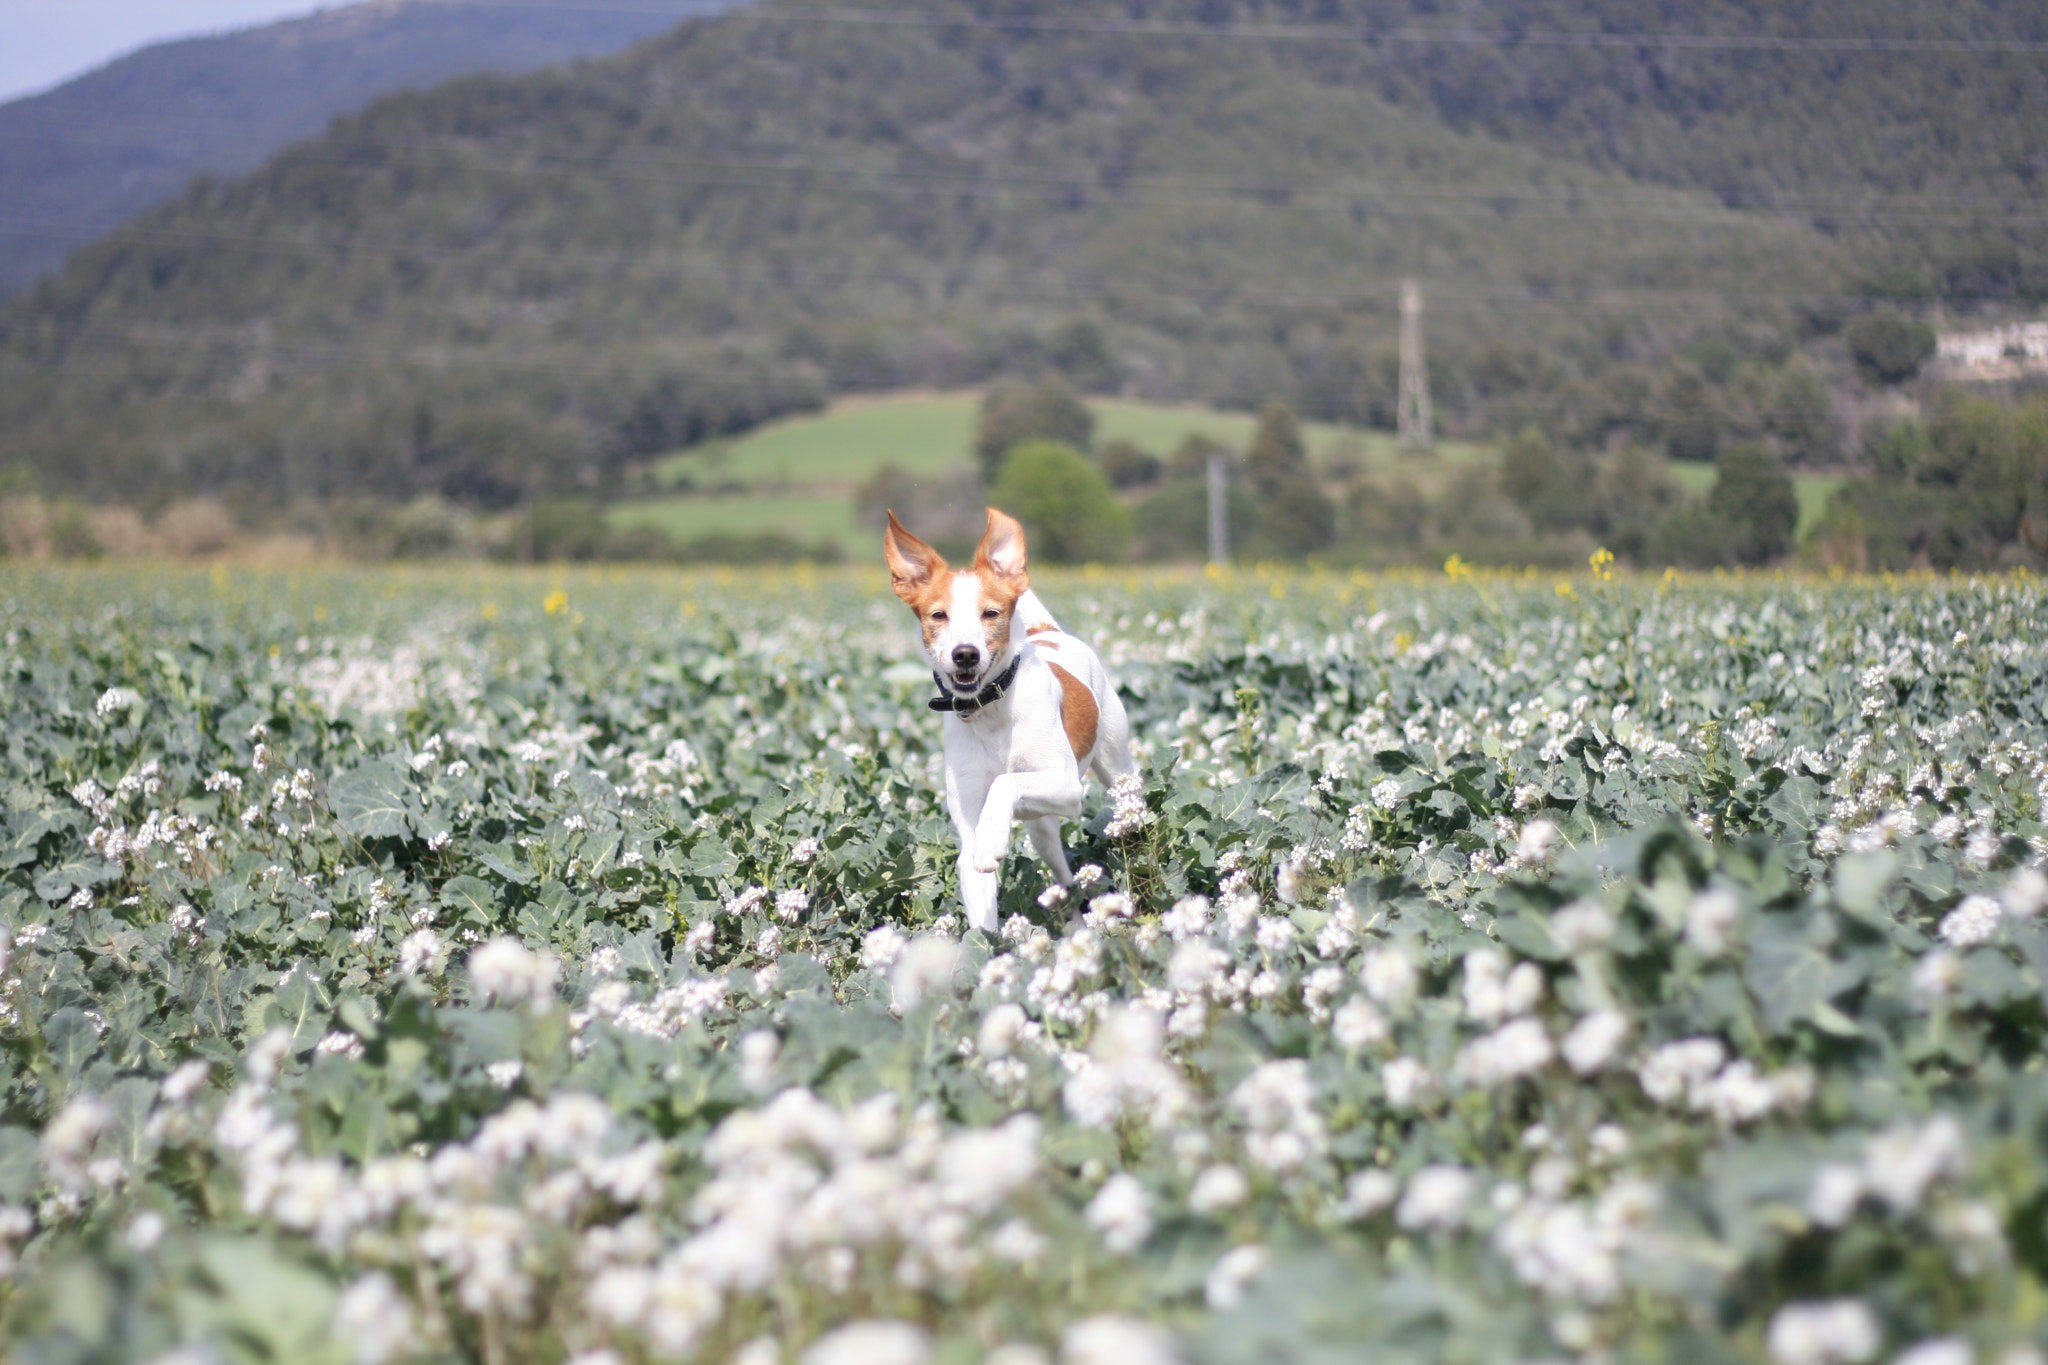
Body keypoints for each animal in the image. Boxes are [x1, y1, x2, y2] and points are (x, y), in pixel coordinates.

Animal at [880, 507, 1138, 933]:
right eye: (938, 615)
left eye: (991, 613)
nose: (965, 654)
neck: (989, 712)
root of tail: (1047, 632)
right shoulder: (969, 827)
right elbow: (980, 902)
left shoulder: (1068, 785)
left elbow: (1004, 782)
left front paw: (992, 837)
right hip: (1042, 829)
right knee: (1062, 876)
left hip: (1116, 771)